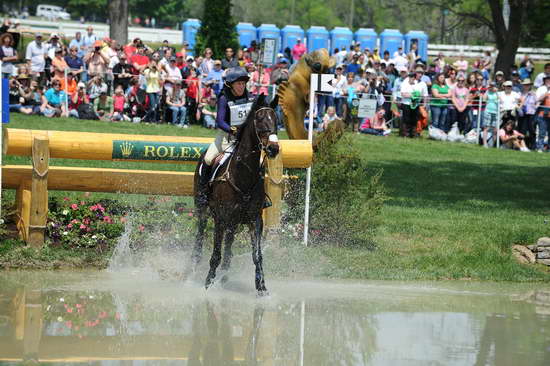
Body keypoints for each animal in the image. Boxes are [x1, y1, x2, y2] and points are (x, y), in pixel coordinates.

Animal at [193, 94, 280, 294]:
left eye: (276, 121)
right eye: (260, 120)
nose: (274, 149)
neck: (243, 175)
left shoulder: (255, 220)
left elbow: (257, 255)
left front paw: (261, 287)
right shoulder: (220, 218)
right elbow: (215, 255)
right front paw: (207, 283)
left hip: (234, 223)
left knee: (229, 249)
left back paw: (224, 277)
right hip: (204, 211)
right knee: (200, 239)